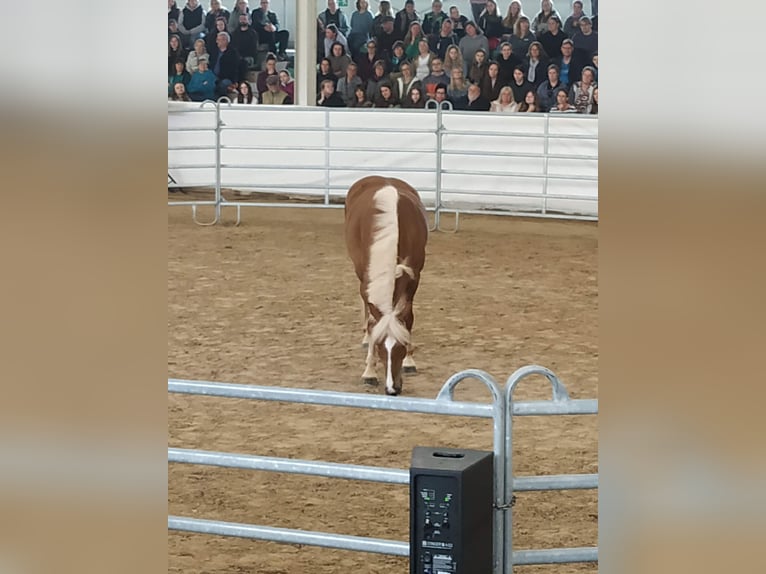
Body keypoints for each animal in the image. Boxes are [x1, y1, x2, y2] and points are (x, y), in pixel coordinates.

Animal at [344, 176, 428, 396]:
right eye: (381, 347)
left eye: (401, 347)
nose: (392, 389)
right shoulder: (367, 281)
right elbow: (373, 323)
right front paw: (369, 371)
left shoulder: (414, 280)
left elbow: (409, 318)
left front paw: (410, 361)